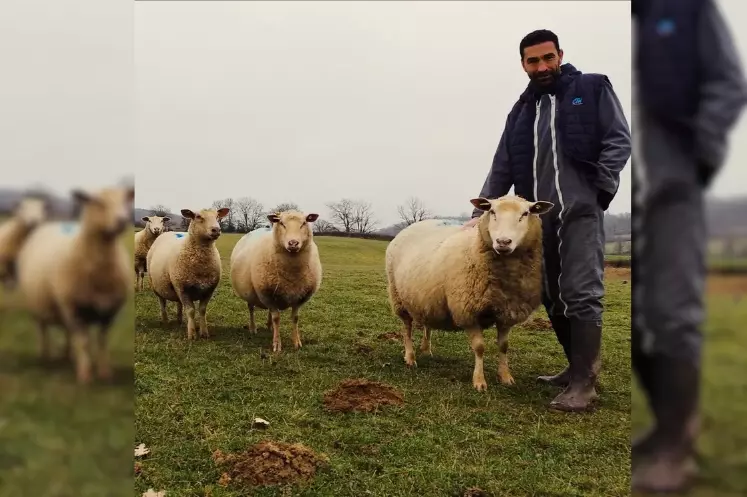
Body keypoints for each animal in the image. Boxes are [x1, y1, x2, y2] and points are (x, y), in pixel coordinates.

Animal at [15, 186, 136, 384]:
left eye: (124, 200)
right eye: (97, 202)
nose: (122, 221)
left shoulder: (108, 311)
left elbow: (102, 342)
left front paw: (105, 373)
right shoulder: (77, 310)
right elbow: (85, 342)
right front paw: (85, 375)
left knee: (66, 330)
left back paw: (68, 355)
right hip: (40, 305)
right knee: (42, 329)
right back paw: (44, 355)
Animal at [146, 207, 228, 340]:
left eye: (217, 216)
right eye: (198, 216)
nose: (216, 230)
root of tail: (168, 232)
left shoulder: (209, 289)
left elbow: (202, 310)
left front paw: (204, 332)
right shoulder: (183, 289)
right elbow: (190, 311)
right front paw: (192, 334)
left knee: (179, 304)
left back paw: (179, 320)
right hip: (157, 285)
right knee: (162, 303)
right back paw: (165, 320)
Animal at [232, 209, 322, 352]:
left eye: (304, 223)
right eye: (282, 223)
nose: (293, 243)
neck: (292, 273)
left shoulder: (300, 297)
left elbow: (295, 318)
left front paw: (297, 342)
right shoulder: (267, 294)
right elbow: (277, 318)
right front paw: (277, 344)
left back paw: (269, 327)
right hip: (250, 292)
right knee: (251, 309)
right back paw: (253, 328)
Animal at [386, 194, 556, 392]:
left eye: (526, 213)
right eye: (492, 211)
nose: (503, 242)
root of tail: (413, 226)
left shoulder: (507, 312)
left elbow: (504, 346)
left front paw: (505, 377)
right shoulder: (468, 311)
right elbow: (480, 347)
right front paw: (479, 381)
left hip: (426, 297)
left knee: (427, 323)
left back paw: (426, 349)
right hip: (398, 297)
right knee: (407, 328)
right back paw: (410, 357)